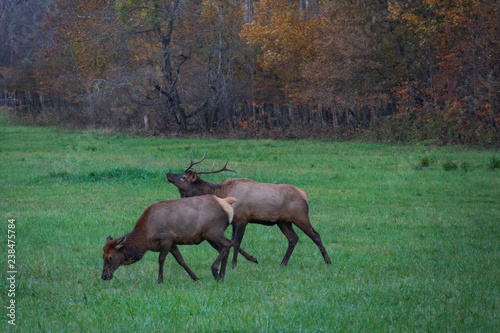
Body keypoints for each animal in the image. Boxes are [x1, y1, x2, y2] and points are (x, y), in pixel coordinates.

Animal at [101, 195, 236, 282]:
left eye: (110, 257)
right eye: (102, 257)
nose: (104, 276)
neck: (145, 238)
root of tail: (226, 202)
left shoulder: (166, 238)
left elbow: (161, 259)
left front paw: (160, 279)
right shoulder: (173, 242)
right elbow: (180, 260)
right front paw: (195, 277)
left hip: (213, 231)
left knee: (229, 243)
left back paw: (215, 271)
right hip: (209, 236)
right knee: (223, 248)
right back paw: (221, 276)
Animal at [166, 152, 334, 268]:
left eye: (183, 177)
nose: (168, 174)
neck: (223, 195)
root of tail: (305, 195)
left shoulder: (242, 219)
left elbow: (236, 242)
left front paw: (234, 264)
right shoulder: (234, 221)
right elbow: (233, 242)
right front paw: (253, 259)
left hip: (300, 216)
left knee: (316, 235)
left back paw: (328, 261)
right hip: (283, 221)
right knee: (293, 238)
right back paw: (283, 263)